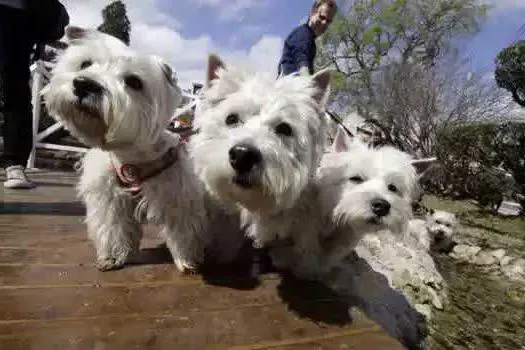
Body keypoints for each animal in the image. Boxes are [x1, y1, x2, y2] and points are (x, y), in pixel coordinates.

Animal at [43, 28, 244, 274]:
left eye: (134, 82)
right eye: (85, 64)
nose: (84, 84)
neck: (131, 156)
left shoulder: (178, 197)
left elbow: (183, 232)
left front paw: (187, 261)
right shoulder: (110, 200)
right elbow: (113, 228)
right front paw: (112, 257)